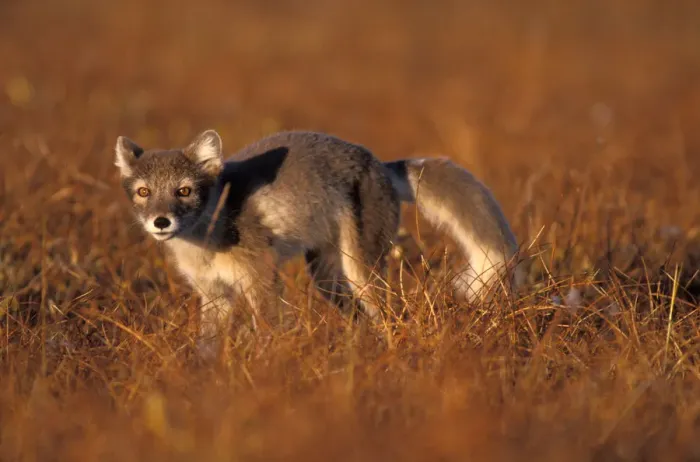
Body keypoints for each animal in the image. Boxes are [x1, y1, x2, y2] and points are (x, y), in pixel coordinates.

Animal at [114, 129, 522, 352]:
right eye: (144, 192)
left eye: (183, 191)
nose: (161, 221)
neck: (206, 243)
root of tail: (378, 162)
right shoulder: (214, 295)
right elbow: (207, 350)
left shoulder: (262, 278)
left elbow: (269, 334)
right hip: (330, 279)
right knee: (363, 322)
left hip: (361, 272)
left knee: (395, 317)